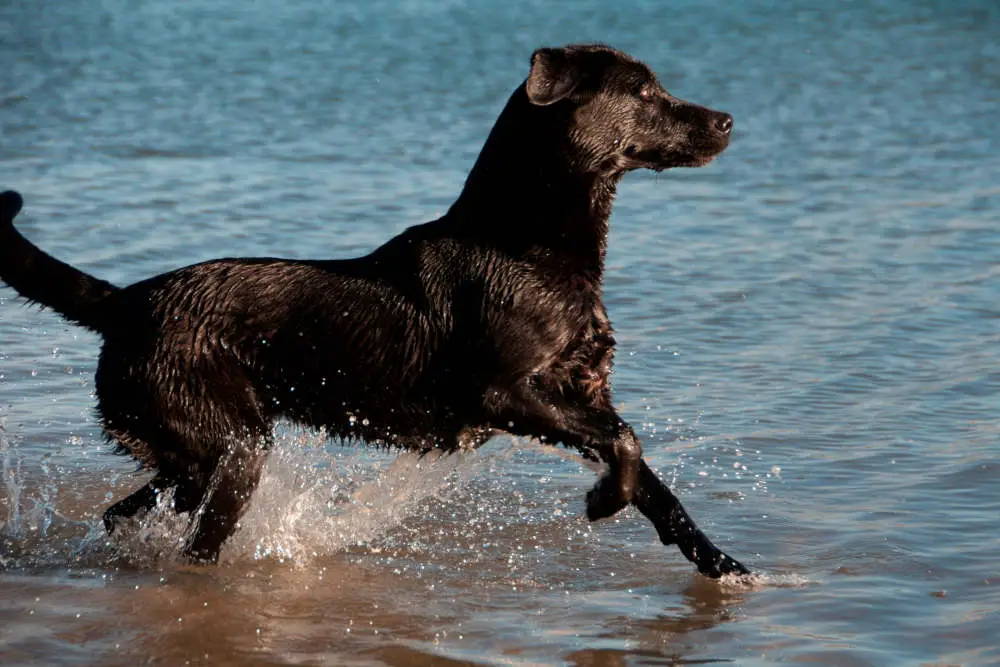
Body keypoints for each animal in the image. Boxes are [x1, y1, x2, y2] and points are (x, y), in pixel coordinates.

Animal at [0, 44, 752, 576]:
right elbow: (625, 443)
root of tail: (127, 301)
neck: (523, 244)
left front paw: (723, 564)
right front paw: (602, 500)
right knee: (197, 540)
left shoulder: (585, 392)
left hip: (188, 456)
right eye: (645, 91)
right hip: (233, 449)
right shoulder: (502, 394)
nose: (727, 120)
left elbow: (653, 478)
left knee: (123, 510)